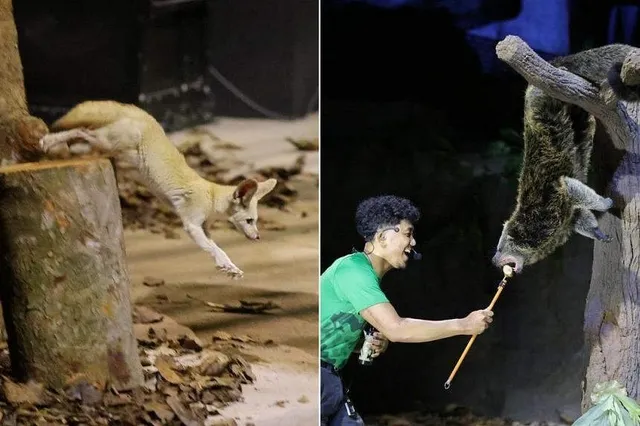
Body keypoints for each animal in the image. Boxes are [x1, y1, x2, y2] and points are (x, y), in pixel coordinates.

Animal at [38, 100, 276, 280]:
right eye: (250, 221)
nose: (258, 237)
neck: (210, 197)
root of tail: (144, 114)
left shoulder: (203, 228)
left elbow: (218, 249)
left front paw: (229, 267)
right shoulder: (191, 225)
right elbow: (211, 249)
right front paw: (224, 265)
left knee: (83, 133)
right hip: (109, 141)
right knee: (81, 130)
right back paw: (49, 142)